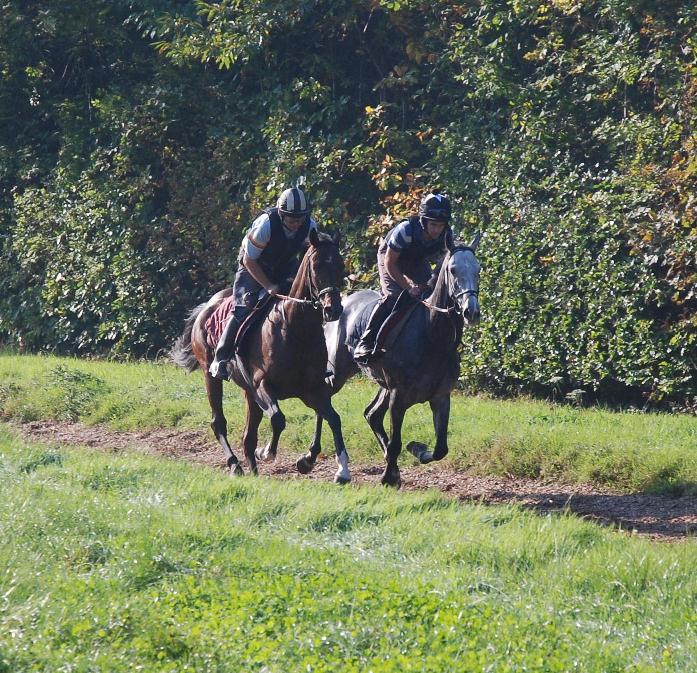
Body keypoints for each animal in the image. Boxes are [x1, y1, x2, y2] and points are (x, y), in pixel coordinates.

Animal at [171, 231, 350, 484]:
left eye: (340, 265)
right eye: (316, 267)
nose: (332, 309)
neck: (296, 330)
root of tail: (206, 306)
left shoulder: (311, 390)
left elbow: (333, 418)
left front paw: (339, 469)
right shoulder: (262, 384)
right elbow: (278, 419)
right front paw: (266, 452)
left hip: (248, 392)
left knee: (248, 434)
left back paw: (253, 470)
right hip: (210, 374)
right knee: (219, 422)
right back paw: (235, 464)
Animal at [310, 234, 478, 486]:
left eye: (478, 269)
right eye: (453, 269)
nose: (471, 311)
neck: (432, 335)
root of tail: (342, 303)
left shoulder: (440, 396)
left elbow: (440, 448)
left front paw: (417, 449)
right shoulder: (398, 396)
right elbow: (396, 441)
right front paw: (389, 476)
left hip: (382, 384)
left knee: (371, 414)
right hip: (338, 372)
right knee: (325, 402)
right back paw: (312, 459)